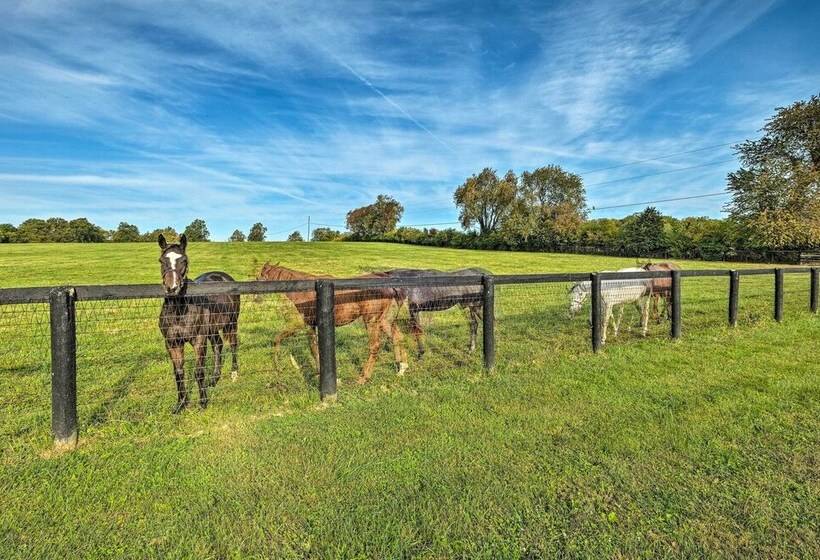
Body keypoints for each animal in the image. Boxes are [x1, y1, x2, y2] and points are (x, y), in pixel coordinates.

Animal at [158, 234, 240, 413]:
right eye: (161, 260)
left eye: (184, 260)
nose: (172, 288)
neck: (179, 312)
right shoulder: (172, 343)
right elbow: (179, 373)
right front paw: (180, 404)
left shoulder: (199, 340)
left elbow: (199, 371)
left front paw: (202, 402)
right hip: (213, 329)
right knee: (218, 345)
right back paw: (214, 379)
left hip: (231, 323)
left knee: (233, 345)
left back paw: (234, 374)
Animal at [256, 262, 407, 384]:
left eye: (259, 276)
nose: (257, 298)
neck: (306, 292)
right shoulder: (312, 326)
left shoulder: (305, 324)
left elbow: (283, 339)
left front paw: (278, 366)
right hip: (384, 320)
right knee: (397, 337)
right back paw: (401, 368)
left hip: (372, 321)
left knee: (375, 346)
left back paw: (363, 378)